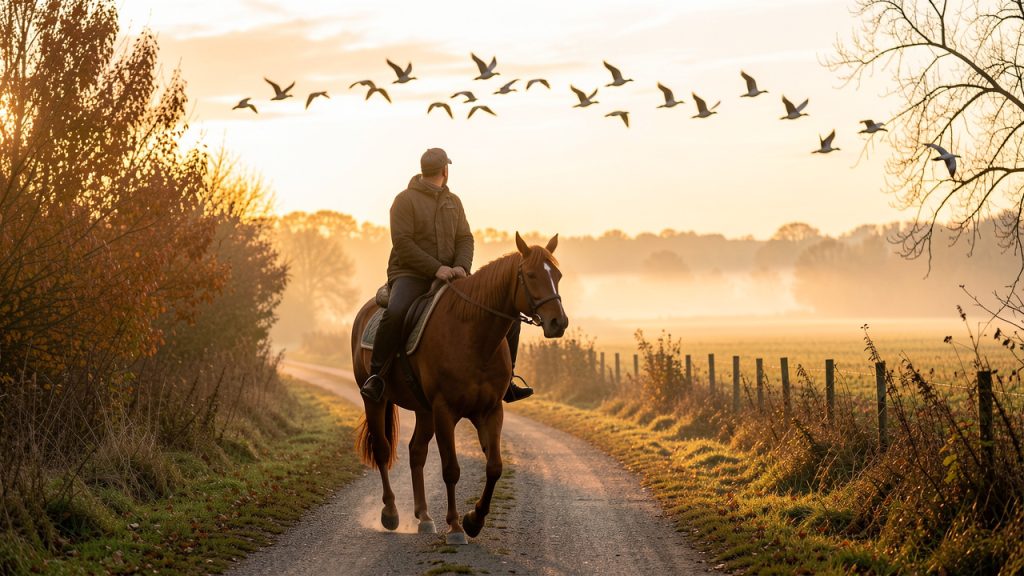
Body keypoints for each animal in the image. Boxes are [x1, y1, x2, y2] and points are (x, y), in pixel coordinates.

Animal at [351, 232, 568, 544]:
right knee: (381, 449)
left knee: (416, 452)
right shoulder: (445, 410)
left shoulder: (490, 410)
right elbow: (451, 469)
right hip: (376, 401)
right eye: (530, 274)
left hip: (424, 411)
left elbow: (495, 466)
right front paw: (455, 526)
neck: (474, 336)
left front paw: (474, 520)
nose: (558, 322)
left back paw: (424, 517)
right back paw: (391, 512)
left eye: (558, 275)